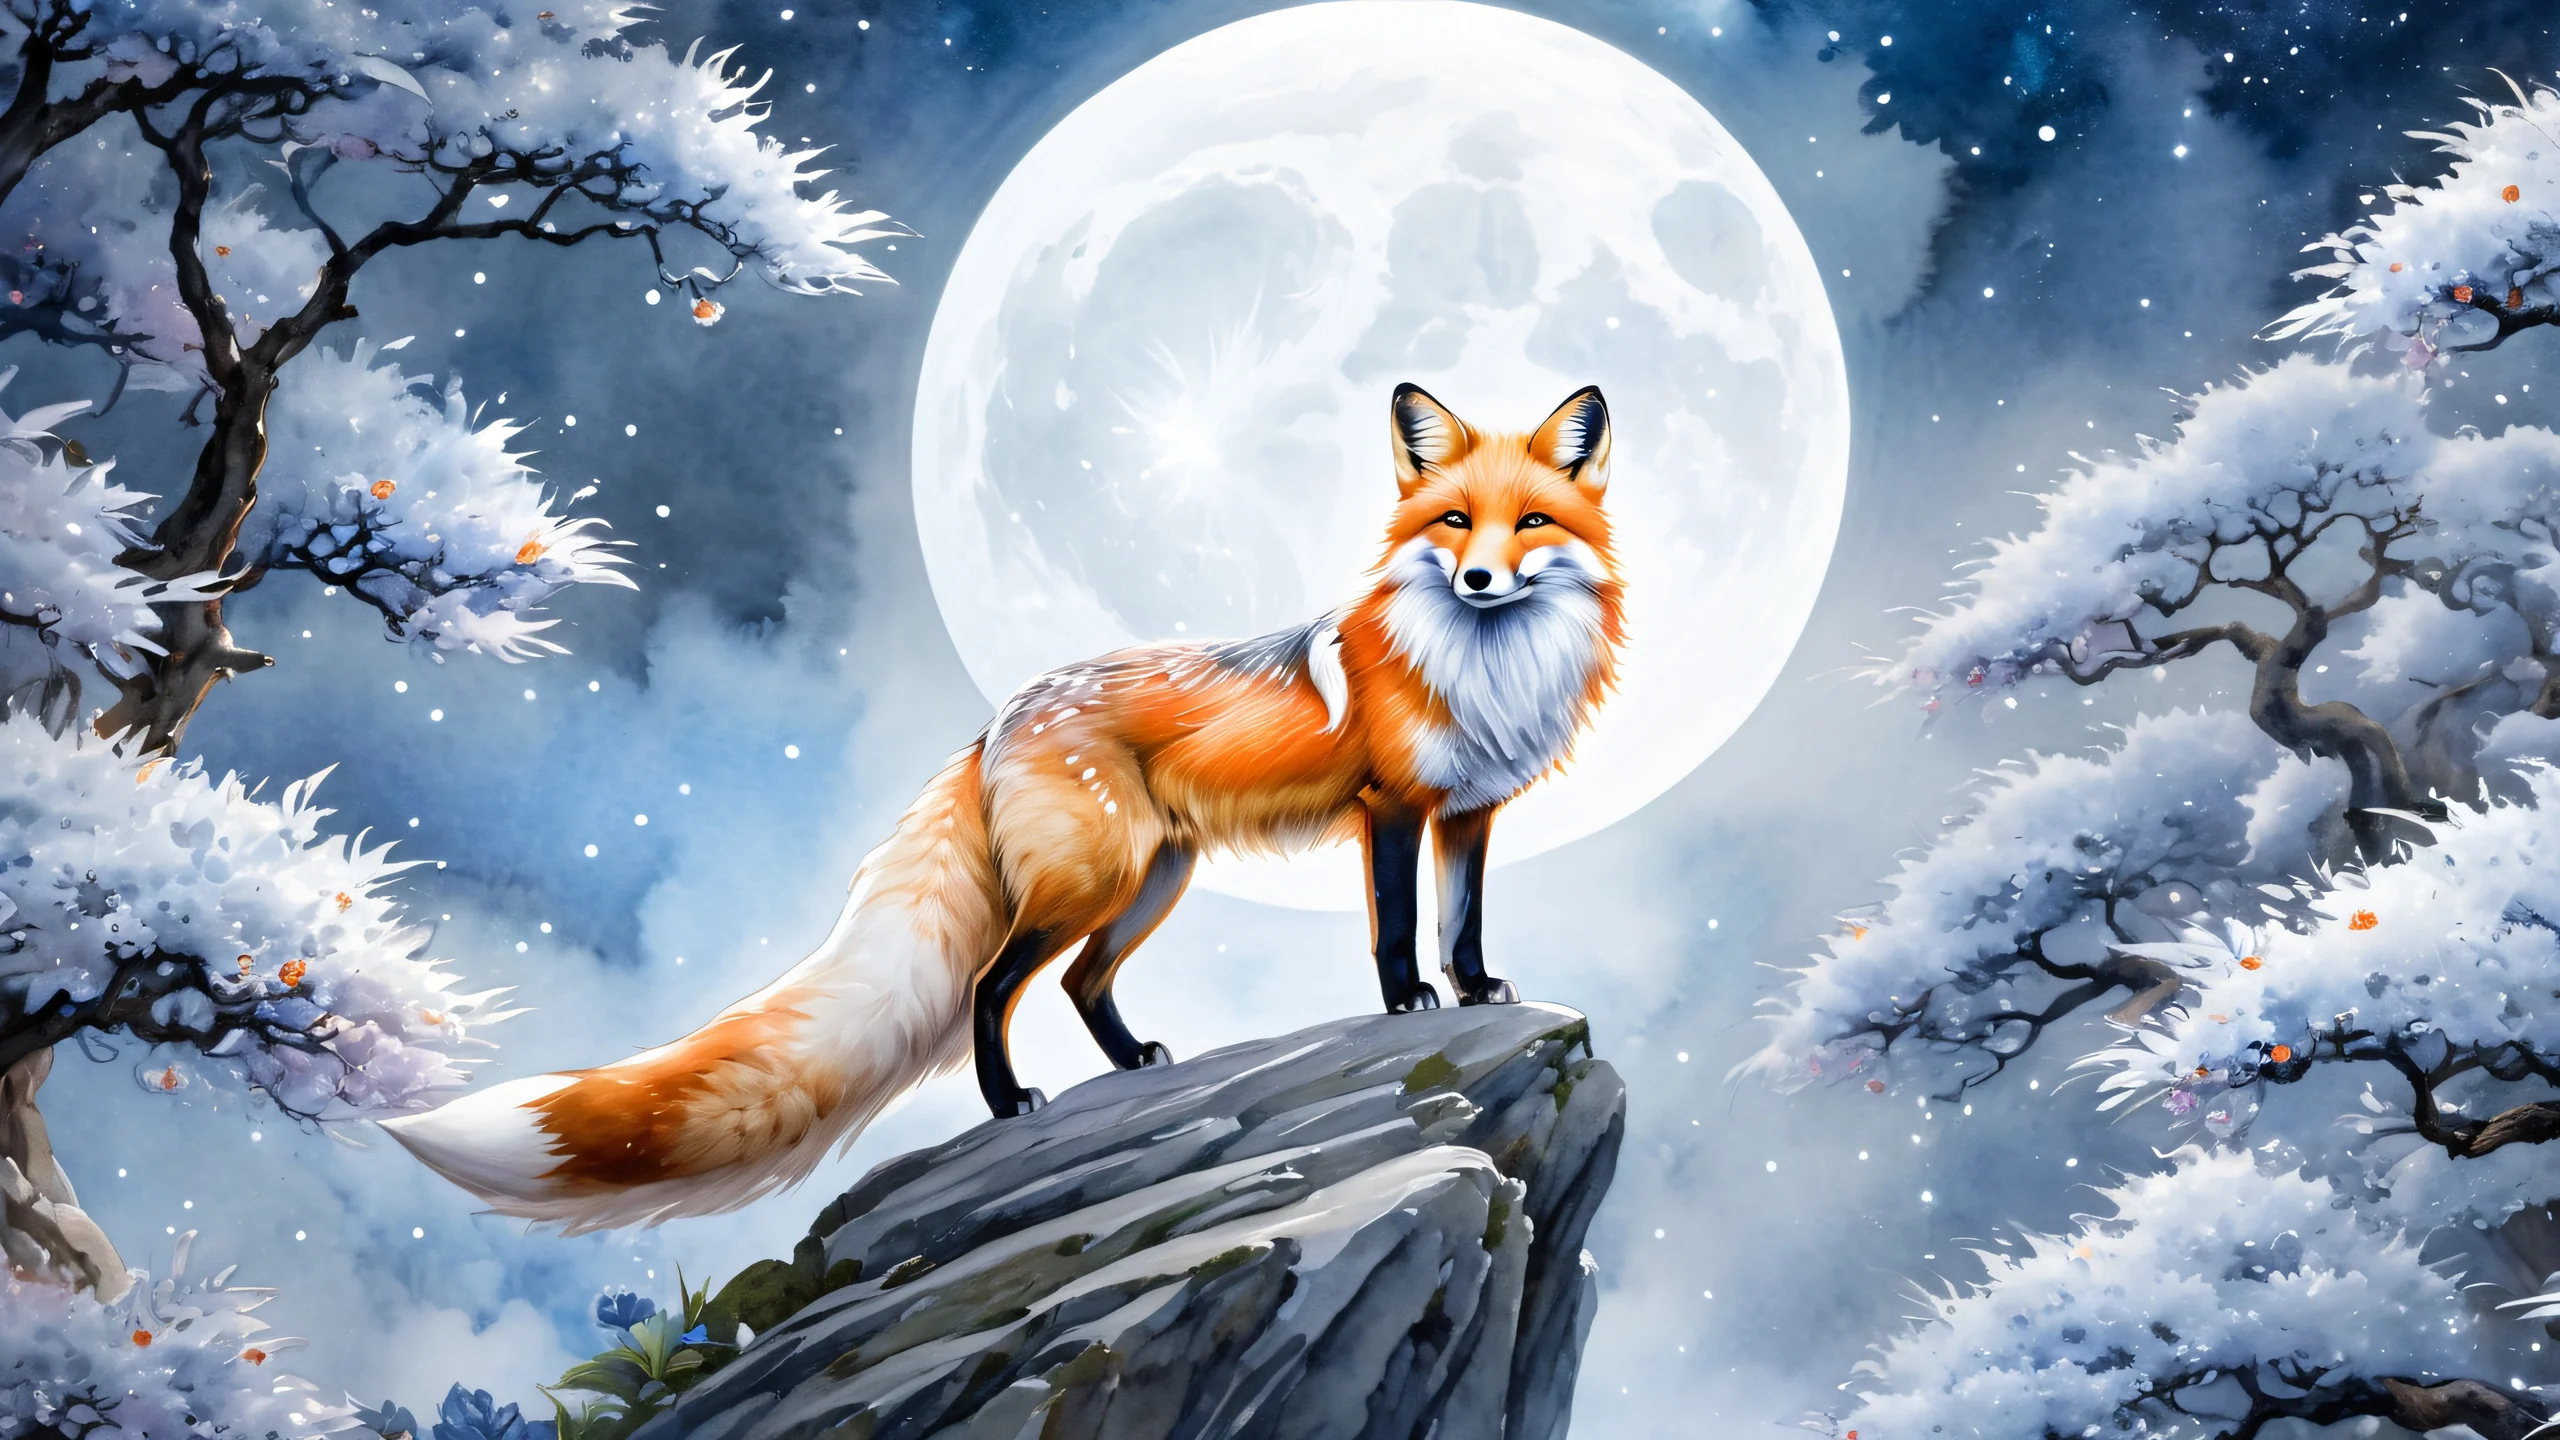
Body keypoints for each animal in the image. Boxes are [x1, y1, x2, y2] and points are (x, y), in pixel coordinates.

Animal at [383, 382, 1627, 1231]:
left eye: (1530, 524)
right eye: (1454, 522)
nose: (1477, 581)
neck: (1479, 667)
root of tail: (998, 719)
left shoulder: (1467, 815)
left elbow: (1464, 923)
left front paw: (1474, 989)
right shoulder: (1390, 809)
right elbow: (1398, 927)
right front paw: (1411, 1003)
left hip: (1149, 882)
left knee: (1078, 985)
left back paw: (1129, 1064)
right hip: (1097, 880)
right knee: (993, 983)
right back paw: (1006, 1103)